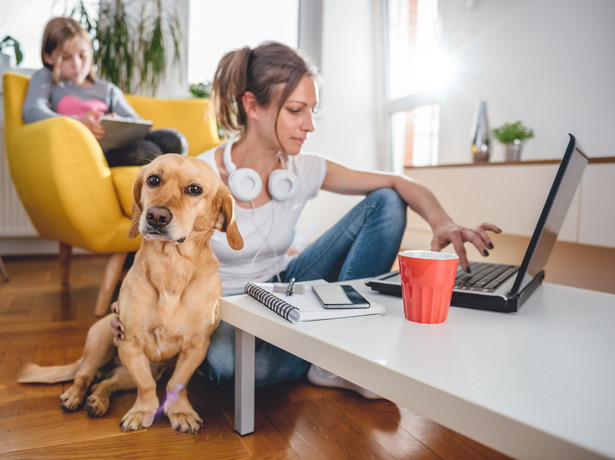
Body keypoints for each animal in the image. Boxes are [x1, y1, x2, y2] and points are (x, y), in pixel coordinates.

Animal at [17, 154, 243, 432]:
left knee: (104, 383)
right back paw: (75, 396)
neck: (170, 266)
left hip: (126, 369)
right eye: (153, 180)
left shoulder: (196, 347)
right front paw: (142, 411)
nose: (156, 215)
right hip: (101, 338)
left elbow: (176, 384)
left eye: (194, 189)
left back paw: (97, 401)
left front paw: (180, 411)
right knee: (84, 375)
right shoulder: (130, 344)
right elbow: (145, 386)